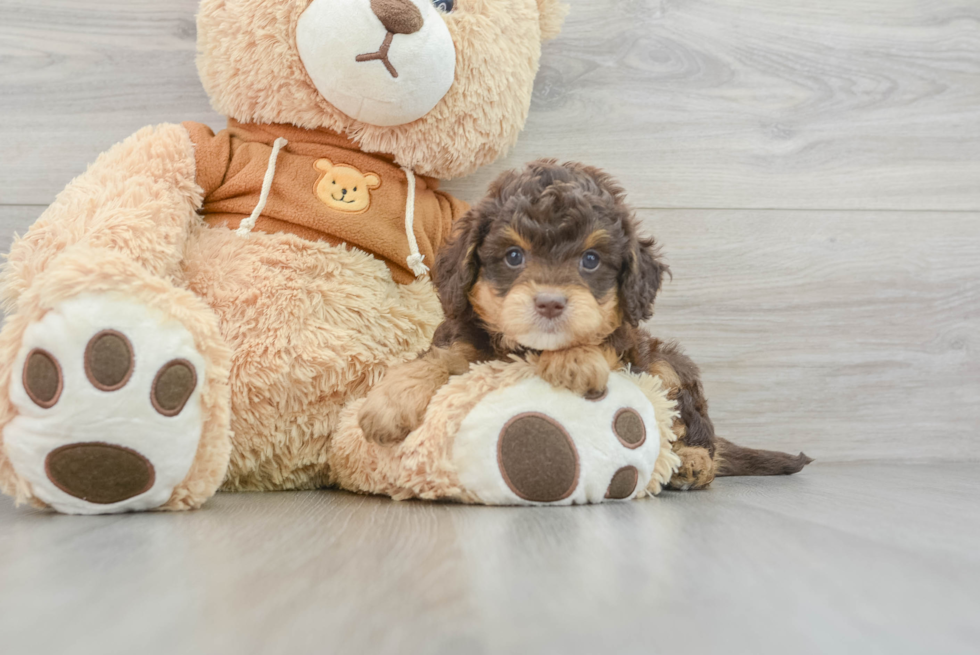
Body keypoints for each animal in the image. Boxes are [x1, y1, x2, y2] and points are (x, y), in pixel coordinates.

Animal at [360, 160, 812, 492]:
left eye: (590, 260)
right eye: (513, 256)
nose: (550, 302)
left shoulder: (628, 347)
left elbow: (601, 345)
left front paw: (574, 359)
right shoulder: (467, 337)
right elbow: (444, 356)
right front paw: (389, 401)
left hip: (667, 365)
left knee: (695, 428)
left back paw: (693, 463)